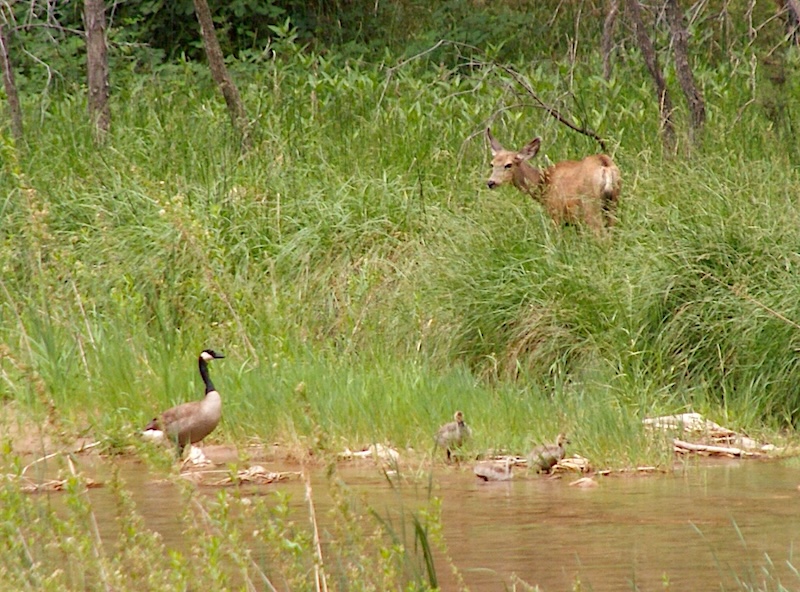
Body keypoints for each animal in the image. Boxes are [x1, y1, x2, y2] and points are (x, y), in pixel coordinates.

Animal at [486, 128, 621, 233]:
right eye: (492, 164)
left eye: (508, 165)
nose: (491, 182)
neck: (543, 184)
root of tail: (605, 166)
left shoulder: (555, 213)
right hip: (613, 203)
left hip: (591, 205)